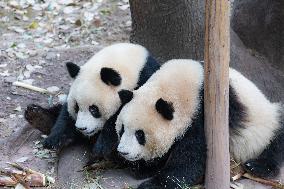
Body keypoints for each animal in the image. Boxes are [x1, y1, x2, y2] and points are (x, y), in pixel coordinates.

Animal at [25, 43, 161, 152]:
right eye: (77, 107)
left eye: (94, 109)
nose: (81, 128)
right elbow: (65, 114)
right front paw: (54, 139)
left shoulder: (143, 83)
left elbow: (120, 118)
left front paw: (101, 147)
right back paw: (37, 115)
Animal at [114, 59, 282, 189]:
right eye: (122, 129)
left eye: (140, 134)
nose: (123, 152)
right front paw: (144, 168)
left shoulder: (201, 114)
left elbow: (190, 161)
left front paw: (152, 184)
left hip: (267, 123)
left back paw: (257, 166)